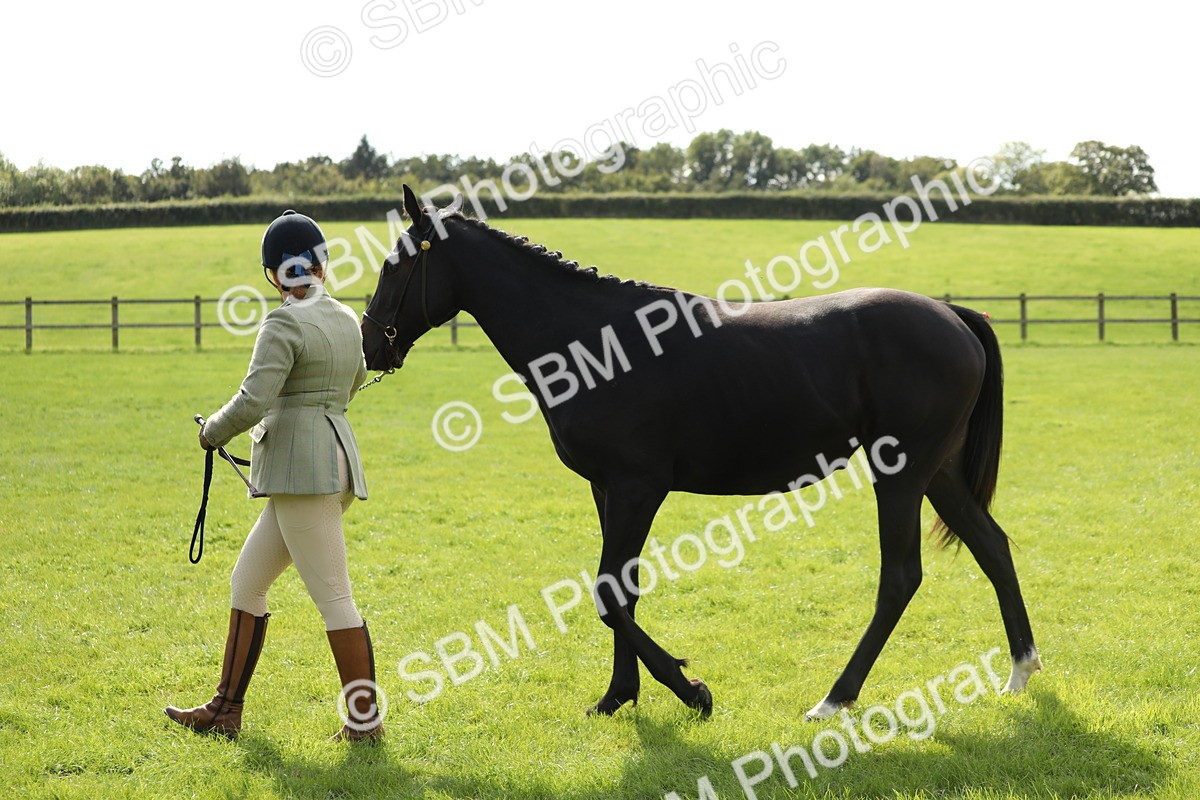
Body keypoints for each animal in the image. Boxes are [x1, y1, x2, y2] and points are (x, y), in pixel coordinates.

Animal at [361, 185, 1041, 720]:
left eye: (394, 267)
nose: (370, 344)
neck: (596, 344)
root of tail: (952, 315)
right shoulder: (607, 489)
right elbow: (623, 589)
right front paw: (619, 696)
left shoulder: (638, 487)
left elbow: (609, 593)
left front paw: (690, 690)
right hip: (938, 473)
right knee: (992, 546)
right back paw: (1020, 670)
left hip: (901, 474)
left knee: (900, 577)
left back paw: (834, 698)